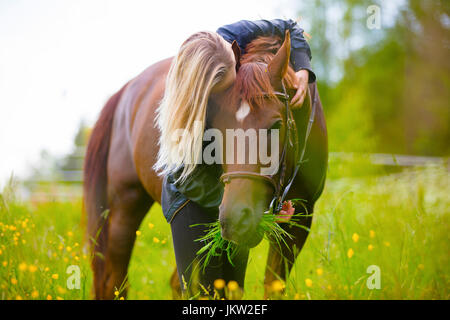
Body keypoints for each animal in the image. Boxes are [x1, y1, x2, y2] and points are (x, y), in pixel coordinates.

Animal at [83, 31, 326, 298]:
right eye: (215, 129)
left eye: (276, 125)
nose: (235, 218)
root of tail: (127, 90)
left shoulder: (299, 221)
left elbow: (270, 285)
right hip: (124, 209)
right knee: (115, 281)